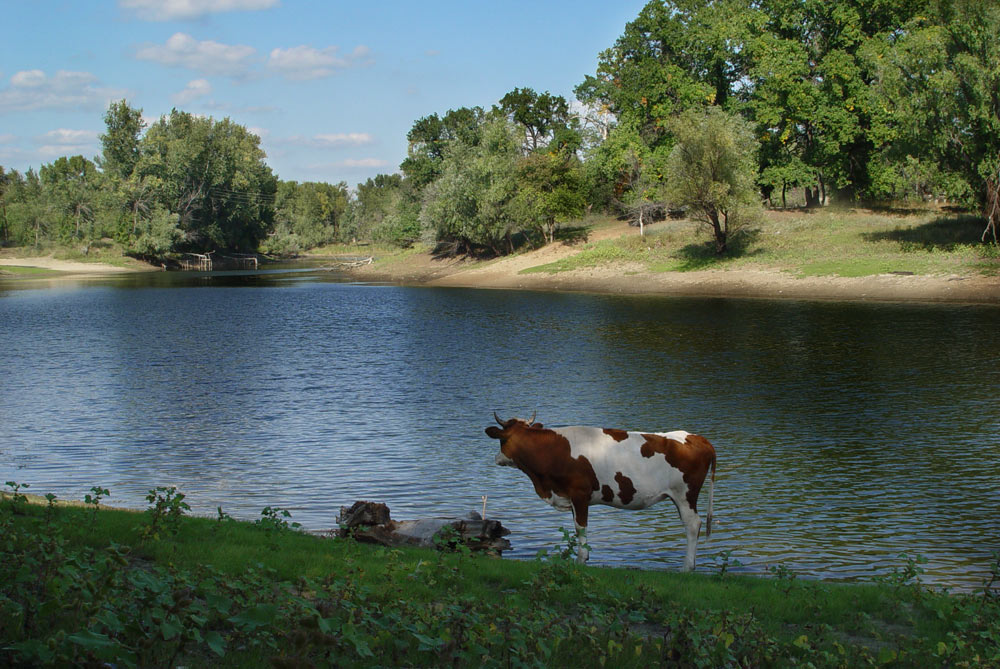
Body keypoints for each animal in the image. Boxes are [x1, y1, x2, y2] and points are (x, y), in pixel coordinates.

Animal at [486, 412, 716, 568]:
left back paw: (687, 567)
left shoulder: (580, 494)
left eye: (502, 440)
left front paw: (581, 560)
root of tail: (698, 438)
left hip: (685, 495)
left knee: (693, 525)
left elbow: (581, 528)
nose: (496, 459)